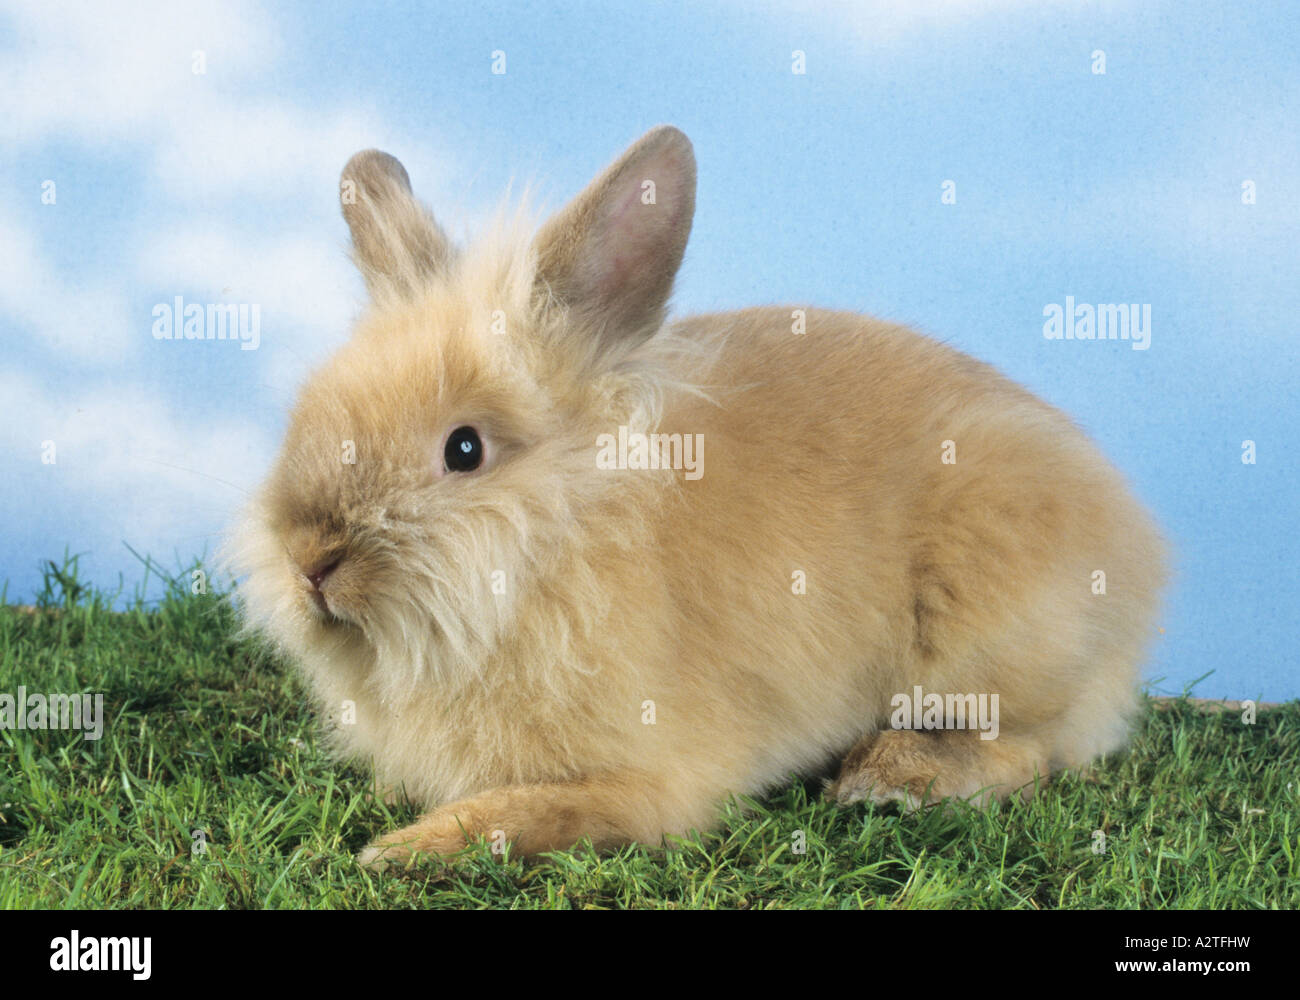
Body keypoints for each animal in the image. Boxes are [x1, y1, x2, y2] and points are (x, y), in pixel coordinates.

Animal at [223, 124, 1170, 868]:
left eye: (465, 450)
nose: (310, 560)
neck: (557, 552)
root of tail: (1139, 553)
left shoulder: (651, 781)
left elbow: (544, 812)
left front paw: (400, 850)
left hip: (987, 643)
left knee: (1034, 751)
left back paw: (887, 779)